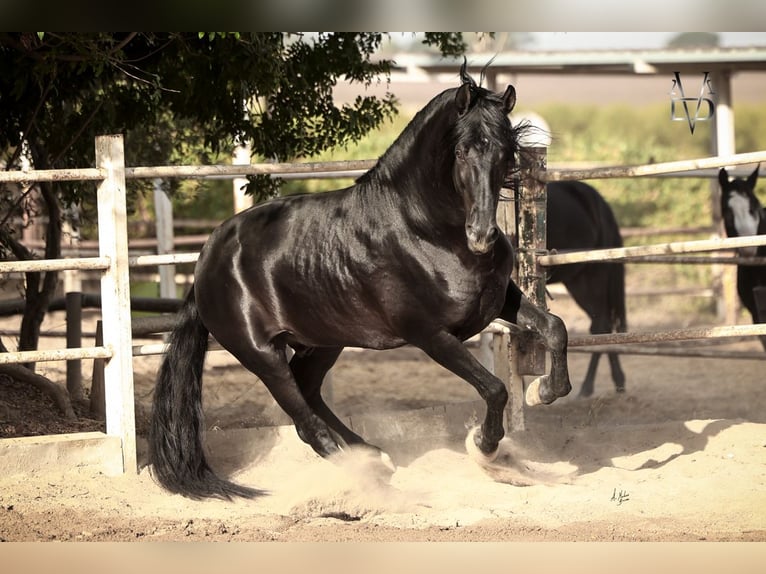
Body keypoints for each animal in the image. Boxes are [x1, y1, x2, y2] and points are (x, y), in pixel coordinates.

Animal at [148, 64, 572, 500]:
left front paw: (542, 391)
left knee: (309, 390)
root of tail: (207, 259)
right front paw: (485, 447)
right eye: (461, 151)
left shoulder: (499, 302)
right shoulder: (430, 334)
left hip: (323, 341)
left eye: (506, 152)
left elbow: (555, 329)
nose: (483, 236)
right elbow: (495, 388)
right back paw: (370, 474)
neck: (426, 229)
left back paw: (374, 455)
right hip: (261, 353)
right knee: (306, 423)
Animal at [545, 181, 627, 396]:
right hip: (578, 282)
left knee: (600, 327)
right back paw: (618, 382)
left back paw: (587, 387)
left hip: (591, 280)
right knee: (603, 326)